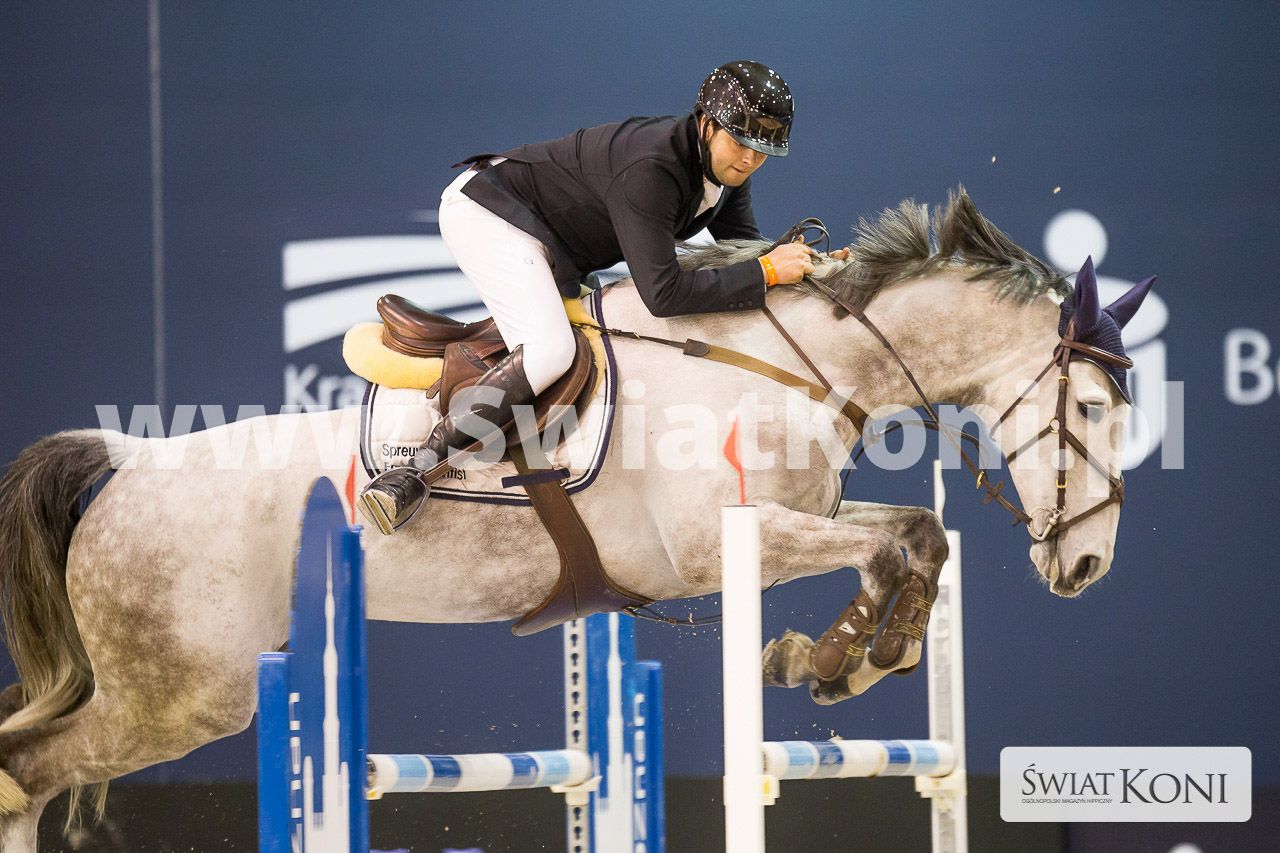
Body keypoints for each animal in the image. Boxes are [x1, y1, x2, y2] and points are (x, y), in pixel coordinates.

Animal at [0, 190, 1150, 849]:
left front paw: (844, 656)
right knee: (28, 770)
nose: (1090, 564)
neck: (789, 363)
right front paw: (835, 653)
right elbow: (891, 537)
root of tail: (130, 461)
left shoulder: (796, 517)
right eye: (1094, 406)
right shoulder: (722, 544)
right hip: (181, 697)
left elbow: (913, 533)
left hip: (156, 688)